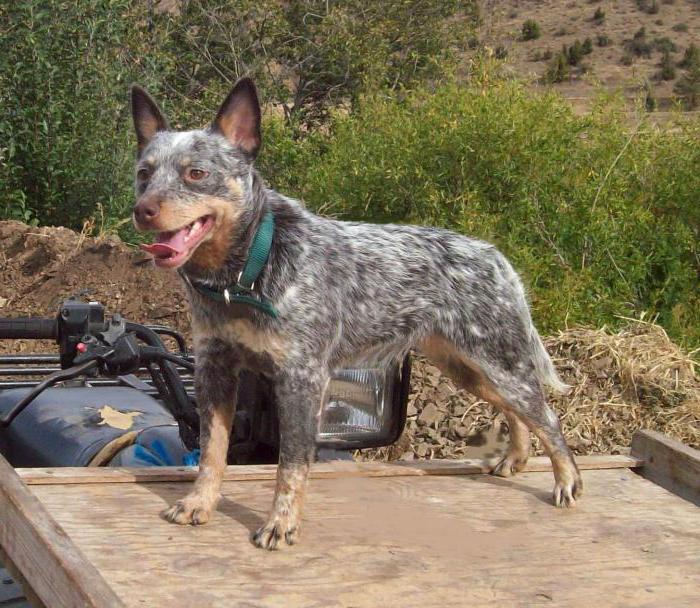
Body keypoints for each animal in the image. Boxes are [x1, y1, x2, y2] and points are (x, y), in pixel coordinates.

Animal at [130, 77, 580, 552]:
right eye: (144, 174)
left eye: (196, 173)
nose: (143, 210)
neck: (247, 271)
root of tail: (496, 256)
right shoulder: (214, 368)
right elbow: (212, 451)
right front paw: (200, 503)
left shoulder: (302, 379)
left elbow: (290, 465)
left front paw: (281, 523)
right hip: (467, 369)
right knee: (518, 412)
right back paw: (515, 458)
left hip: (499, 363)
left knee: (547, 416)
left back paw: (566, 480)